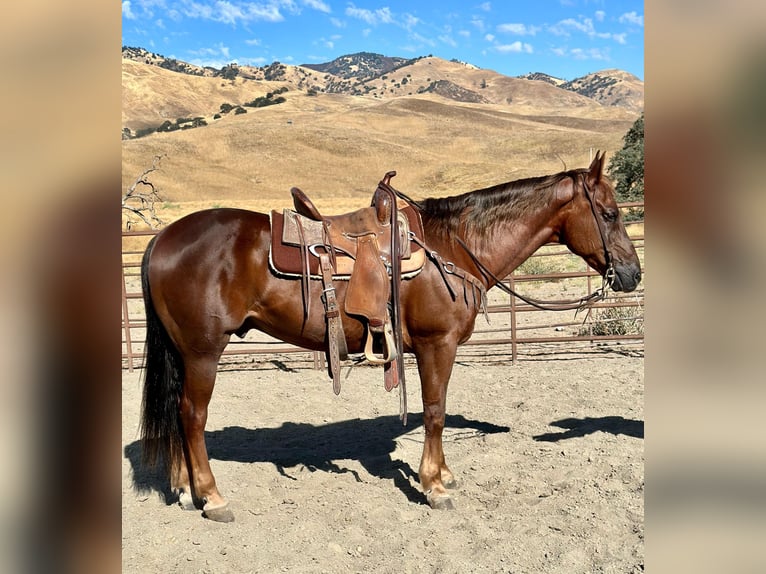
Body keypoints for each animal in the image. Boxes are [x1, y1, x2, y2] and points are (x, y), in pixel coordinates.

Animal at [138, 152, 640, 520]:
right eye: (610, 213)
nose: (632, 274)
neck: (452, 246)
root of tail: (161, 238)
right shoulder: (437, 344)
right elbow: (435, 411)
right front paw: (434, 485)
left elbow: (437, 408)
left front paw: (443, 475)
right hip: (203, 351)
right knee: (192, 415)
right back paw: (212, 497)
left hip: (184, 353)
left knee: (177, 409)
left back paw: (183, 488)